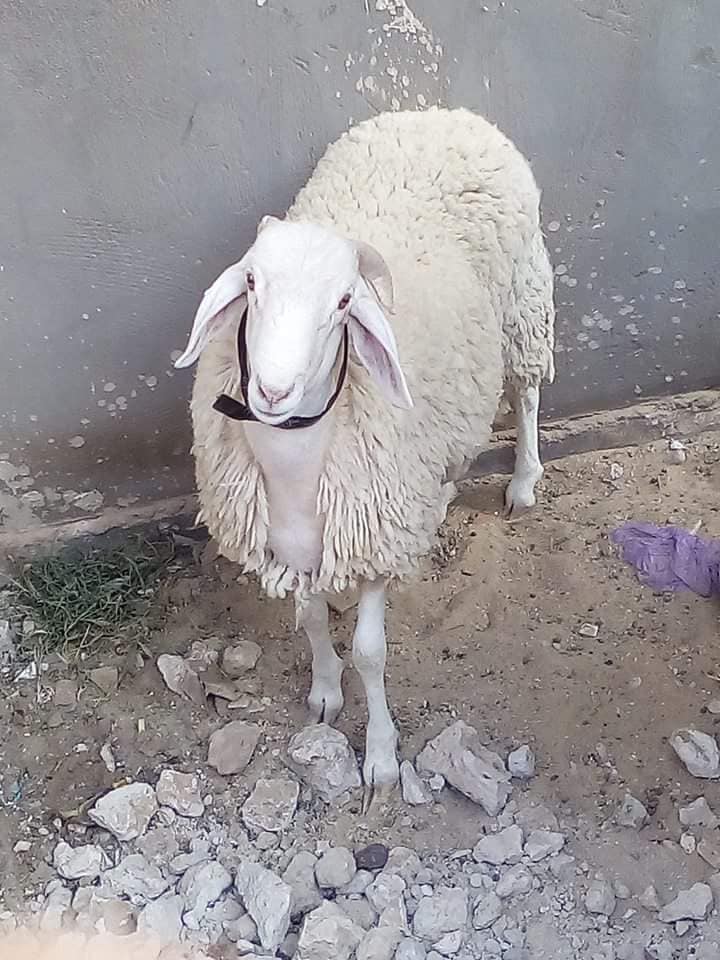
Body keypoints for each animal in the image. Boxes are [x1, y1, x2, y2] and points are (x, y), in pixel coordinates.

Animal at [174, 107, 555, 804]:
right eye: (251, 282)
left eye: (345, 302)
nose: (272, 390)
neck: (298, 466)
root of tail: (438, 113)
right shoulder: (296, 551)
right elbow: (311, 620)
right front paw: (325, 694)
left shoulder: (376, 538)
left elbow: (371, 653)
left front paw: (379, 757)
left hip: (523, 298)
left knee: (527, 391)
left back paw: (523, 481)